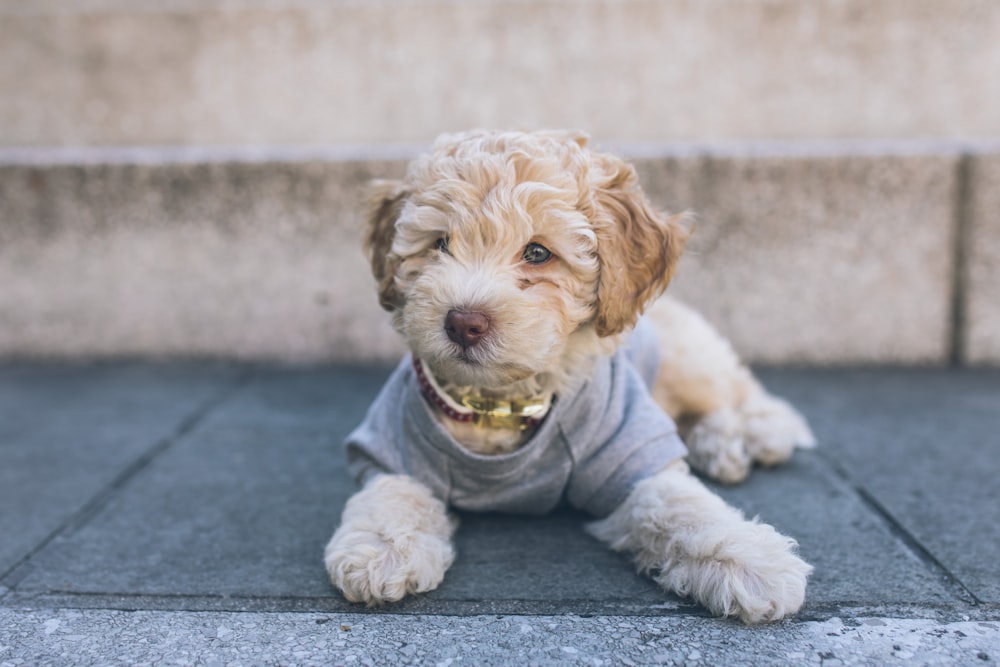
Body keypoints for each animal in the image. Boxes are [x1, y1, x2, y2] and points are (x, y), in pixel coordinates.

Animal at [324, 132, 816, 628]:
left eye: (538, 253)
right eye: (440, 243)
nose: (463, 323)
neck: (499, 405)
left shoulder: (629, 446)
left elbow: (680, 505)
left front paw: (748, 560)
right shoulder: (396, 443)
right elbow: (392, 494)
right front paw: (382, 550)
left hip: (687, 357)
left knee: (740, 392)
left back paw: (755, 435)